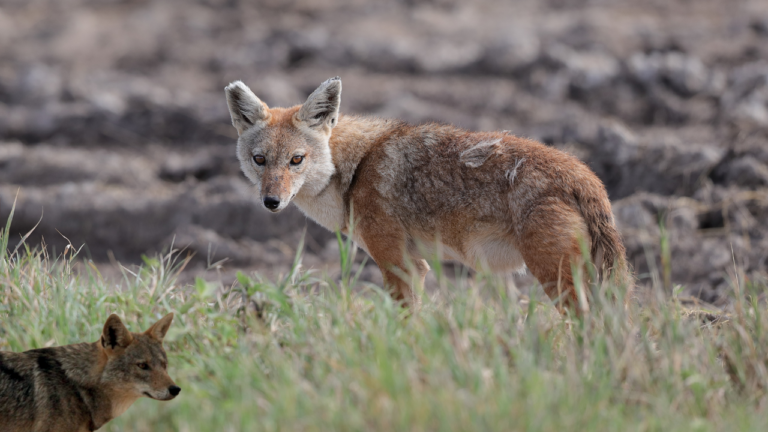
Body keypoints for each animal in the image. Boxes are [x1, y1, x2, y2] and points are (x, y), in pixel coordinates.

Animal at [224, 77, 631, 312]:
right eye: (260, 160)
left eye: (296, 159)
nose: (272, 202)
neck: (354, 170)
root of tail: (585, 176)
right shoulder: (415, 264)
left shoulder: (397, 263)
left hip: (557, 282)